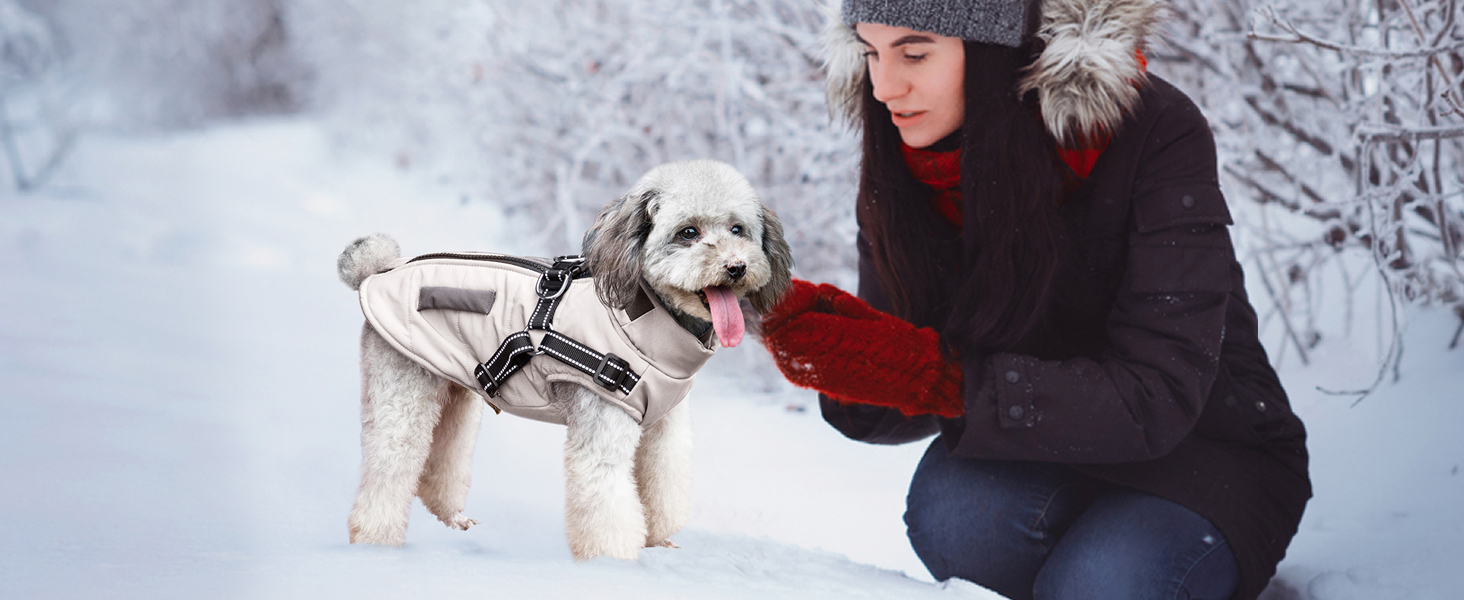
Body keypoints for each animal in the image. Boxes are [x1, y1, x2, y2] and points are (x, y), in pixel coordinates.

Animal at [336, 160, 796, 561]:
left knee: (440, 461)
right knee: (390, 464)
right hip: (403, 392)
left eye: (738, 229)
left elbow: (664, 486)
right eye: (688, 232)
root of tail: (378, 270)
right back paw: (375, 542)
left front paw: (659, 541)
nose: (736, 267)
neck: (644, 321)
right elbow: (607, 505)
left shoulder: (665, 429)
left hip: (454, 391)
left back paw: (453, 519)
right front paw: (614, 562)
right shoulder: (602, 433)